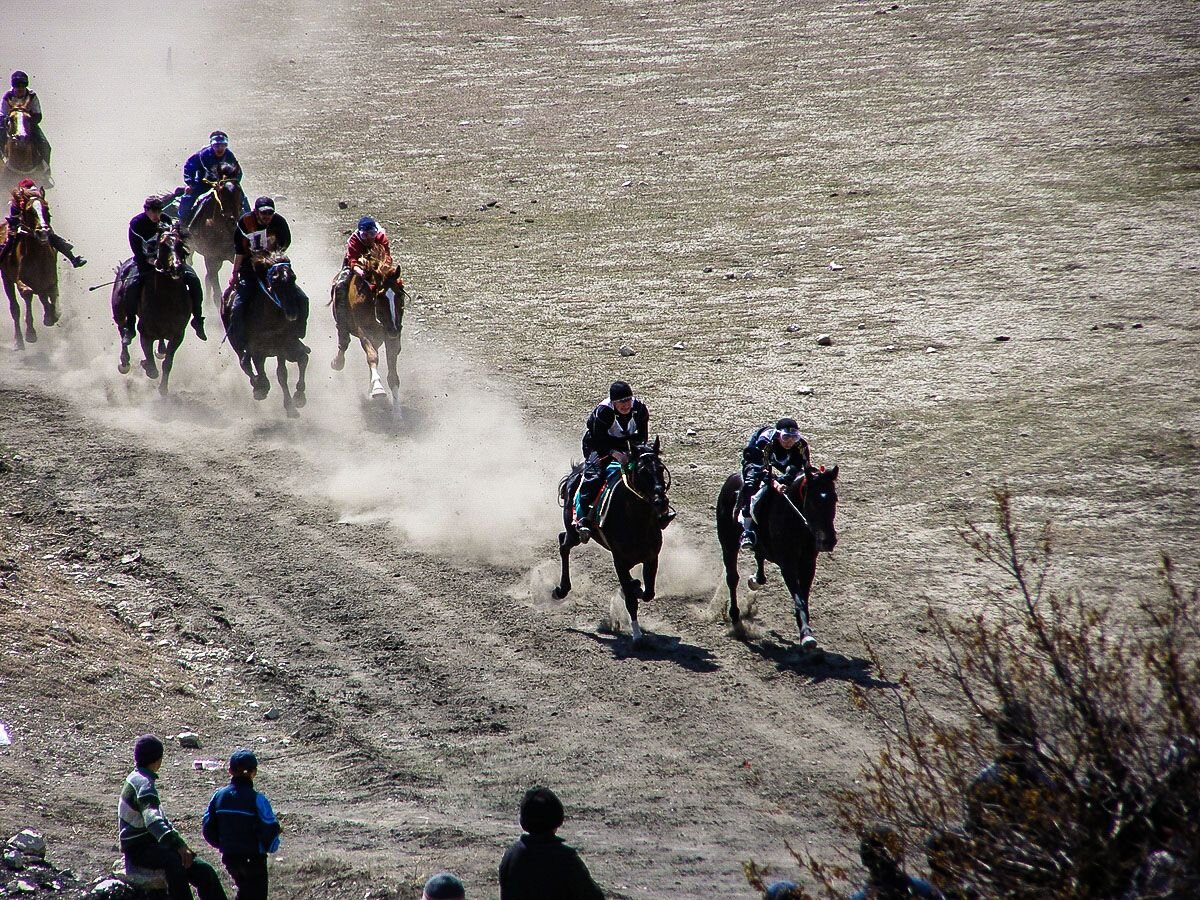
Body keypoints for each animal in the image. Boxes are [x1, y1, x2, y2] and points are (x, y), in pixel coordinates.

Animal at [0, 187, 59, 348]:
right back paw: (18, 341)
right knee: (14, 308)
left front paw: (51, 315)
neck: (38, 257)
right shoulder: (19, 279)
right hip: (6, 278)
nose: (43, 231)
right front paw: (30, 333)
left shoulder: (51, 278)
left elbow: (51, 293)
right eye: (29, 210)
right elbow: (27, 292)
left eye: (46, 208)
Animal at [223, 250, 309, 420]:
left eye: (293, 277)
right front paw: (262, 387)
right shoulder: (257, 348)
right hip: (236, 342)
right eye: (274, 280)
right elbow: (261, 369)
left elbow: (283, 373)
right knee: (244, 363)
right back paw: (258, 386)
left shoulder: (283, 345)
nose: (292, 312)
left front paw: (294, 402)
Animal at [331, 244, 405, 417]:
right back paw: (338, 362)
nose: (394, 329)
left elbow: (393, 375)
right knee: (344, 342)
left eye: (400, 296)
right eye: (380, 297)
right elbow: (372, 357)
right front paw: (377, 389)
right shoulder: (364, 331)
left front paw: (397, 413)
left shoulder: (391, 337)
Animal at [554, 439, 676, 643]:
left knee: (562, 538)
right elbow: (631, 599)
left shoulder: (652, 557)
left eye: (660, 468)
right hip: (575, 532)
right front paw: (637, 636)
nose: (661, 502)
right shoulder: (620, 561)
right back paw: (561, 589)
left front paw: (635, 586)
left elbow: (648, 593)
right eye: (642, 471)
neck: (636, 521)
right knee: (564, 544)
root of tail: (575, 472)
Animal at [715, 465, 840, 648]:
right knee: (732, 578)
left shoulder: (809, 564)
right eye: (812, 501)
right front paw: (807, 636)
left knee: (759, 559)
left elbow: (803, 597)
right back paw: (735, 617)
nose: (828, 540)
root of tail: (732, 478)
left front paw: (805, 629)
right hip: (728, 544)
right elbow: (799, 599)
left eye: (834, 499)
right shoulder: (788, 564)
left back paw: (755, 580)